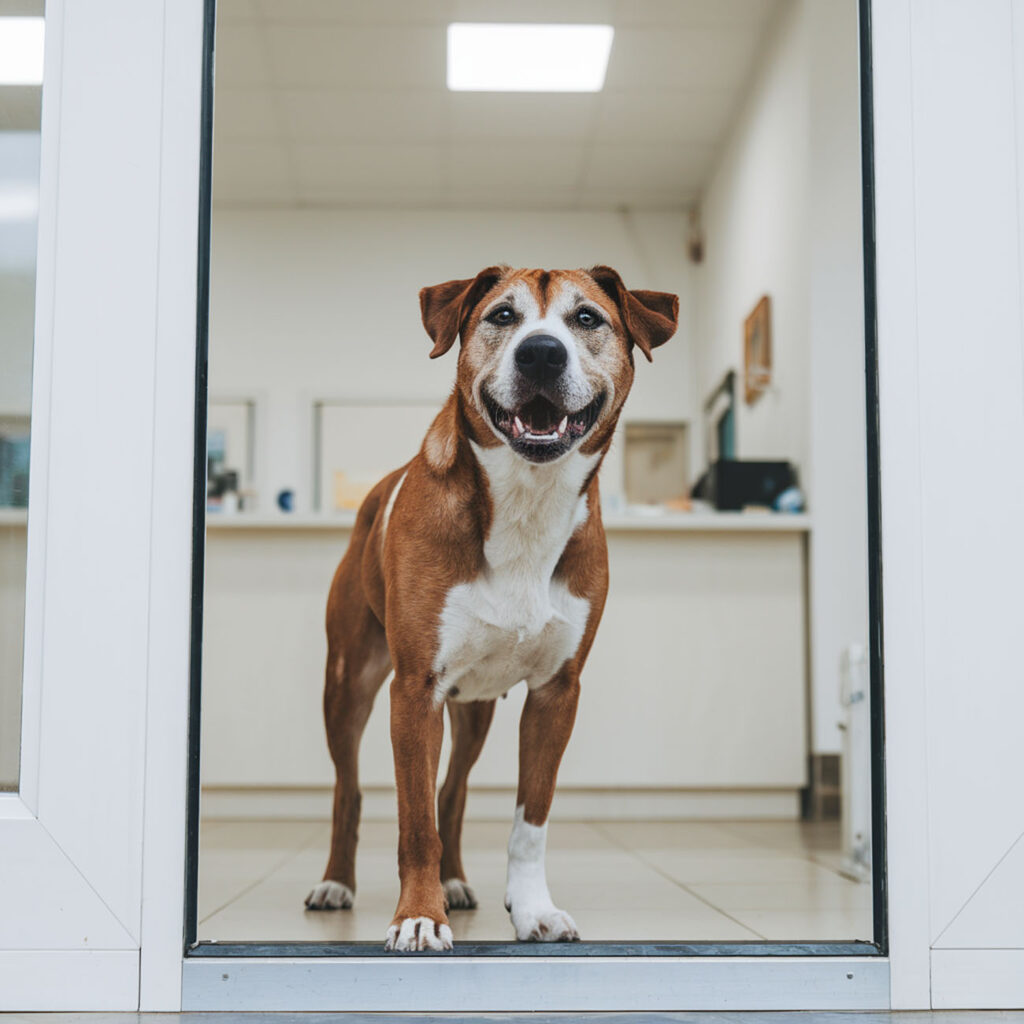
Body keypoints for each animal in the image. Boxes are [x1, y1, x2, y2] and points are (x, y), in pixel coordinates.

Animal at [303, 266, 679, 950]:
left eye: (587, 319)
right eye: (502, 316)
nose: (542, 352)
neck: (527, 501)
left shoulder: (557, 692)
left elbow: (529, 818)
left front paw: (533, 911)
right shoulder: (415, 688)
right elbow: (414, 819)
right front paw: (417, 917)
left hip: (473, 708)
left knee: (452, 791)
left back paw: (453, 881)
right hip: (349, 685)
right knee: (351, 790)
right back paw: (337, 884)